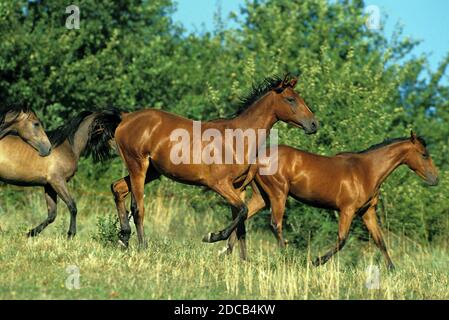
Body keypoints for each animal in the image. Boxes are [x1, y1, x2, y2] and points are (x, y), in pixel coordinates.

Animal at [0, 110, 121, 238]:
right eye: (111, 131)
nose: (120, 148)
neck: (68, 147)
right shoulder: (58, 182)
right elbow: (72, 206)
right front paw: (70, 234)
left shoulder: (49, 186)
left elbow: (52, 215)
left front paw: (30, 233)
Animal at [112, 75, 318, 258]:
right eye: (290, 99)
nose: (314, 124)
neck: (238, 138)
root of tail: (126, 118)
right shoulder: (218, 184)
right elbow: (243, 211)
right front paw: (212, 236)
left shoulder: (239, 187)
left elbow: (241, 221)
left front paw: (243, 261)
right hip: (138, 166)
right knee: (138, 208)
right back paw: (142, 247)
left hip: (151, 171)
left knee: (117, 188)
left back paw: (123, 240)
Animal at [228, 131, 438, 268]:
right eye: (424, 154)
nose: (435, 179)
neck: (367, 171)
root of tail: (257, 159)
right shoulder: (347, 210)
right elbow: (342, 240)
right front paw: (316, 261)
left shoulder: (367, 212)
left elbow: (380, 241)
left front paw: (392, 270)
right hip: (278, 194)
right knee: (275, 225)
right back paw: (286, 258)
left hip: (262, 197)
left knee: (242, 216)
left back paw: (229, 249)